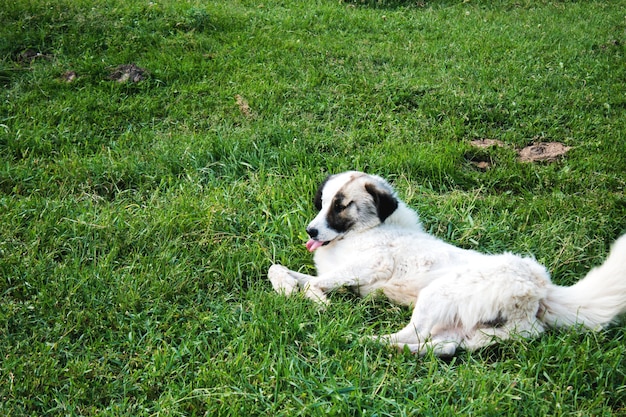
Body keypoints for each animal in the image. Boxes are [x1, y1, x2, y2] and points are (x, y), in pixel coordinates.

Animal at [266, 171, 624, 356]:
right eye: (323, 202)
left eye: (341, 206)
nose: (310, 231)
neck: (366, 231)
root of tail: (539, 287)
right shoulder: (343, 275)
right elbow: (277, 269)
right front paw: (288, 288)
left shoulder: (375, 264)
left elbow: (312, 283)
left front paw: (317, 300)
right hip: (472, 330)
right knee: (441, 347)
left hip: (437, 293)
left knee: (412, 335)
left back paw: (357, 340)